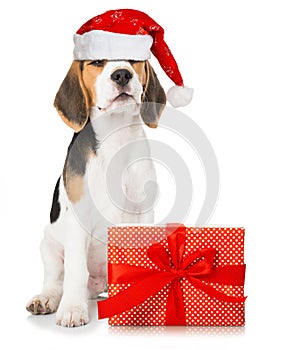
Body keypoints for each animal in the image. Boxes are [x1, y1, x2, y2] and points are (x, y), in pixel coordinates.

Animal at [27, 58, 168, 326]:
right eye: (97, 62)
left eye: (134, 61)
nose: (122, 74)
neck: (115, 135)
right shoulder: (77, 218)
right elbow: (75, 271)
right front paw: (72, 309)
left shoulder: (142, 214)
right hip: (48, 244)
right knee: (56, 280)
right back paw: (46, 299)